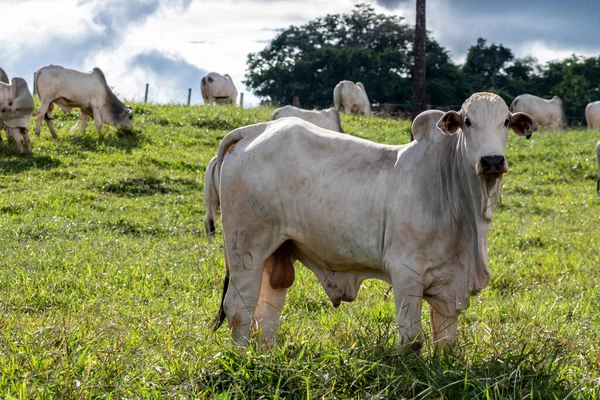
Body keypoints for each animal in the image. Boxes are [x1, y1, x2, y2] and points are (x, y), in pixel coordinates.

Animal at [212, 92, 540, 352]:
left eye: (505, 122)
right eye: (468, 121)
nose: (492, 161)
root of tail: (253, 131)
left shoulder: (450, 283)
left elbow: (445, 341)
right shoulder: (406, 272)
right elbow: (412, 339)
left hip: (277, 251)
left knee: (267, 310)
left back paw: (266, 356)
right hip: (246, 250)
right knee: (239, 308)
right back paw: (241, 358)